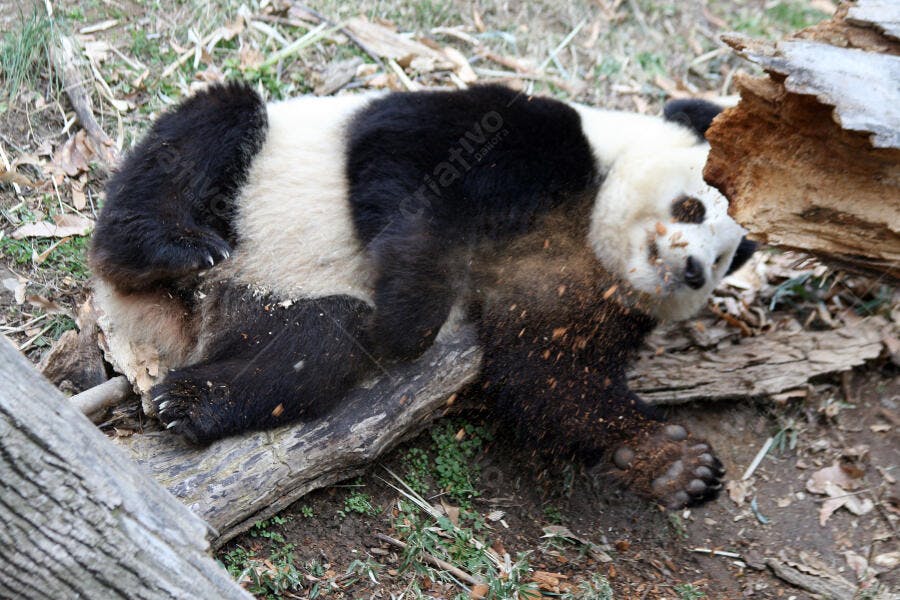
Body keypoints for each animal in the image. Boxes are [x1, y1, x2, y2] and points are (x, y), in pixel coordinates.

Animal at [90, 82, 755, 509]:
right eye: (691, 208)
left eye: (723, 261)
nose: (692, 270)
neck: (590, 223)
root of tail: (192, 313)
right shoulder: (545, 139)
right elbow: (409, 160)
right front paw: (409, 321)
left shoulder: (572, 290)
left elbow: (546, 374)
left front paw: (675, 465)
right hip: (251, 171)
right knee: (209, 129)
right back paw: (169, 247)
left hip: (277, 306)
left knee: (313, 349)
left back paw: (194, 401)